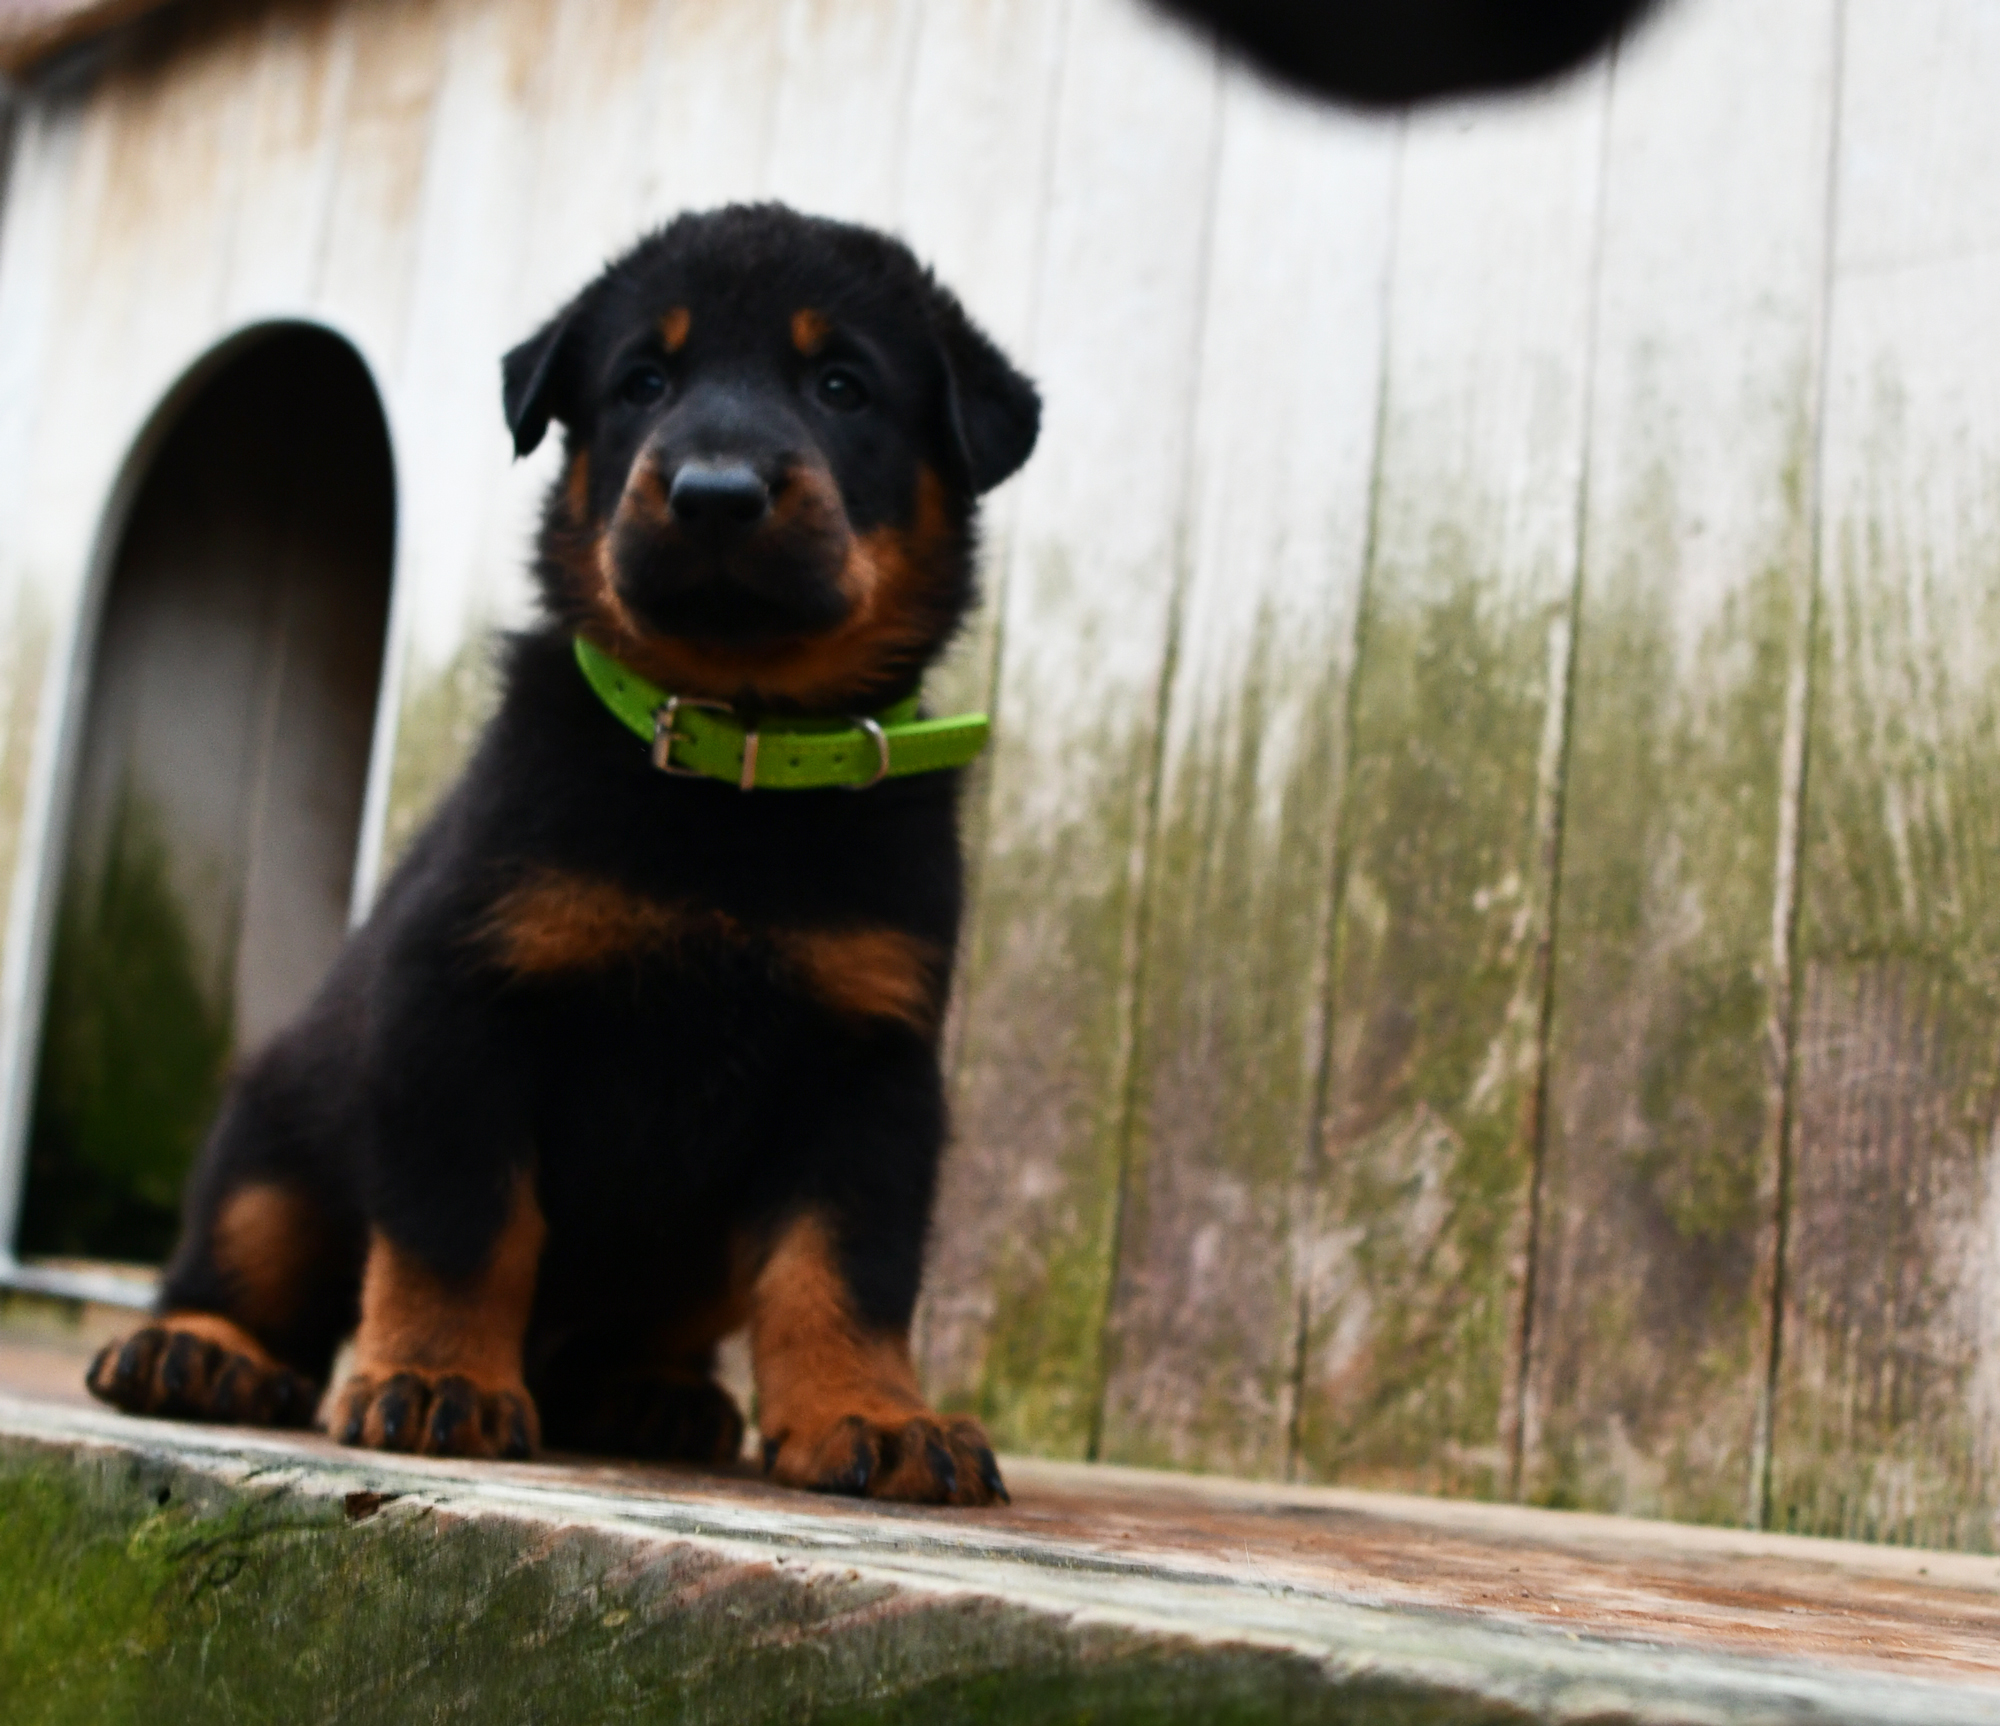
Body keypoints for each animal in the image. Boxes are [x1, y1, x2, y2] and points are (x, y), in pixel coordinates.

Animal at [84, 203, 1039, 1507]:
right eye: (643, 381)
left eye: (842, 385)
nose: (713, 493)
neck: (732, 773)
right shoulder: (457, 1004)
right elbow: (464, 1224)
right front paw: (435, 1377)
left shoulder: (869, 1065)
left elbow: (844, 1263)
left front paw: (872, 1413)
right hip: (277, 1138)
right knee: (241, 1260)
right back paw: (198, 1350)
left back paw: (652, 1391)